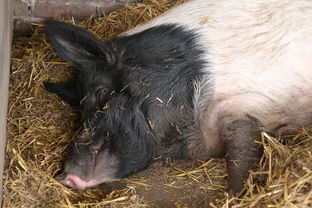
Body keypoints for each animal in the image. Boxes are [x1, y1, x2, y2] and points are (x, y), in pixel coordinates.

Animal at [44, 0, 312, 197]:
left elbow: (241, 157)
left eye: (100, 92)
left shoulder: (242, 108)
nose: (66, 176)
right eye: (79, 110)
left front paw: (233, 197)